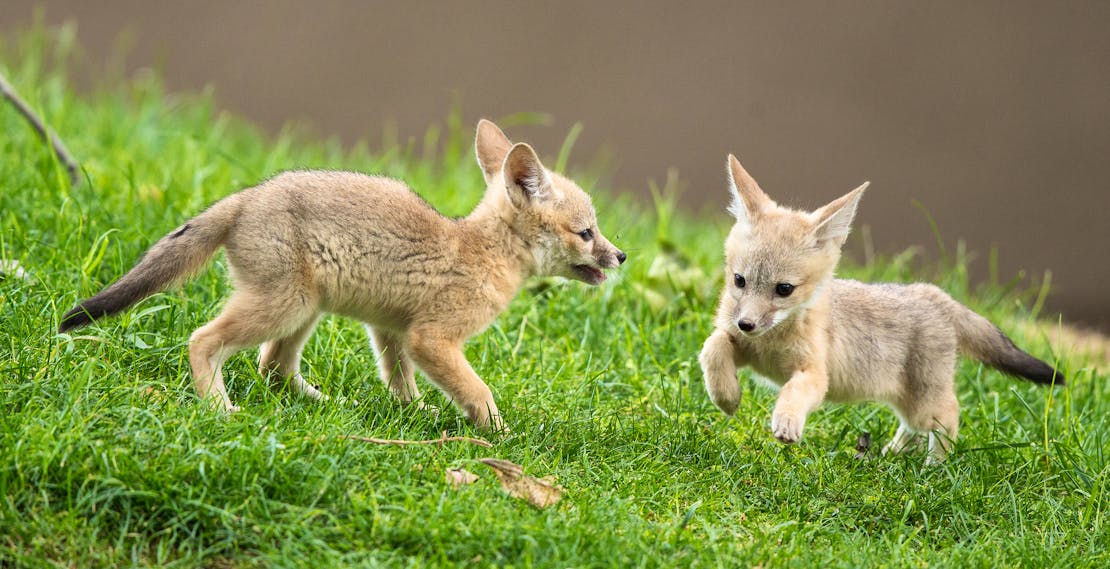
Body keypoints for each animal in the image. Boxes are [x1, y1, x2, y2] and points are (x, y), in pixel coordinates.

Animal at [58, 119, 626, 430]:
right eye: (586, 233)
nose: (621, 257)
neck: (479, 249)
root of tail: (247, 197)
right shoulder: (432, 338)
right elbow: (478, 391)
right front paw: (499, 432)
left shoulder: (392, 330)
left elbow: (401, 383)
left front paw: (413, 416)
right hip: (282, 307)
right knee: (205, 341)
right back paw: (219, 408)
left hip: (304, 312)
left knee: (273, 369)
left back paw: (324, 405)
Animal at [698, 155, 1063, 464]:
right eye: (739, 280)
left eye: (784, 289)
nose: (746, 324)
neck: (769, 342)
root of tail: (932, 292)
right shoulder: (740, 344)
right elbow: (712, 348)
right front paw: (727, 397)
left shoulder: (814, 373)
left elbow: (793, 392)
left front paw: (786, 421)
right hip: (905, 401)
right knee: (916, 428)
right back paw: (890, 456)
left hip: (924, 403)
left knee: (949, 415)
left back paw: (933, 469)